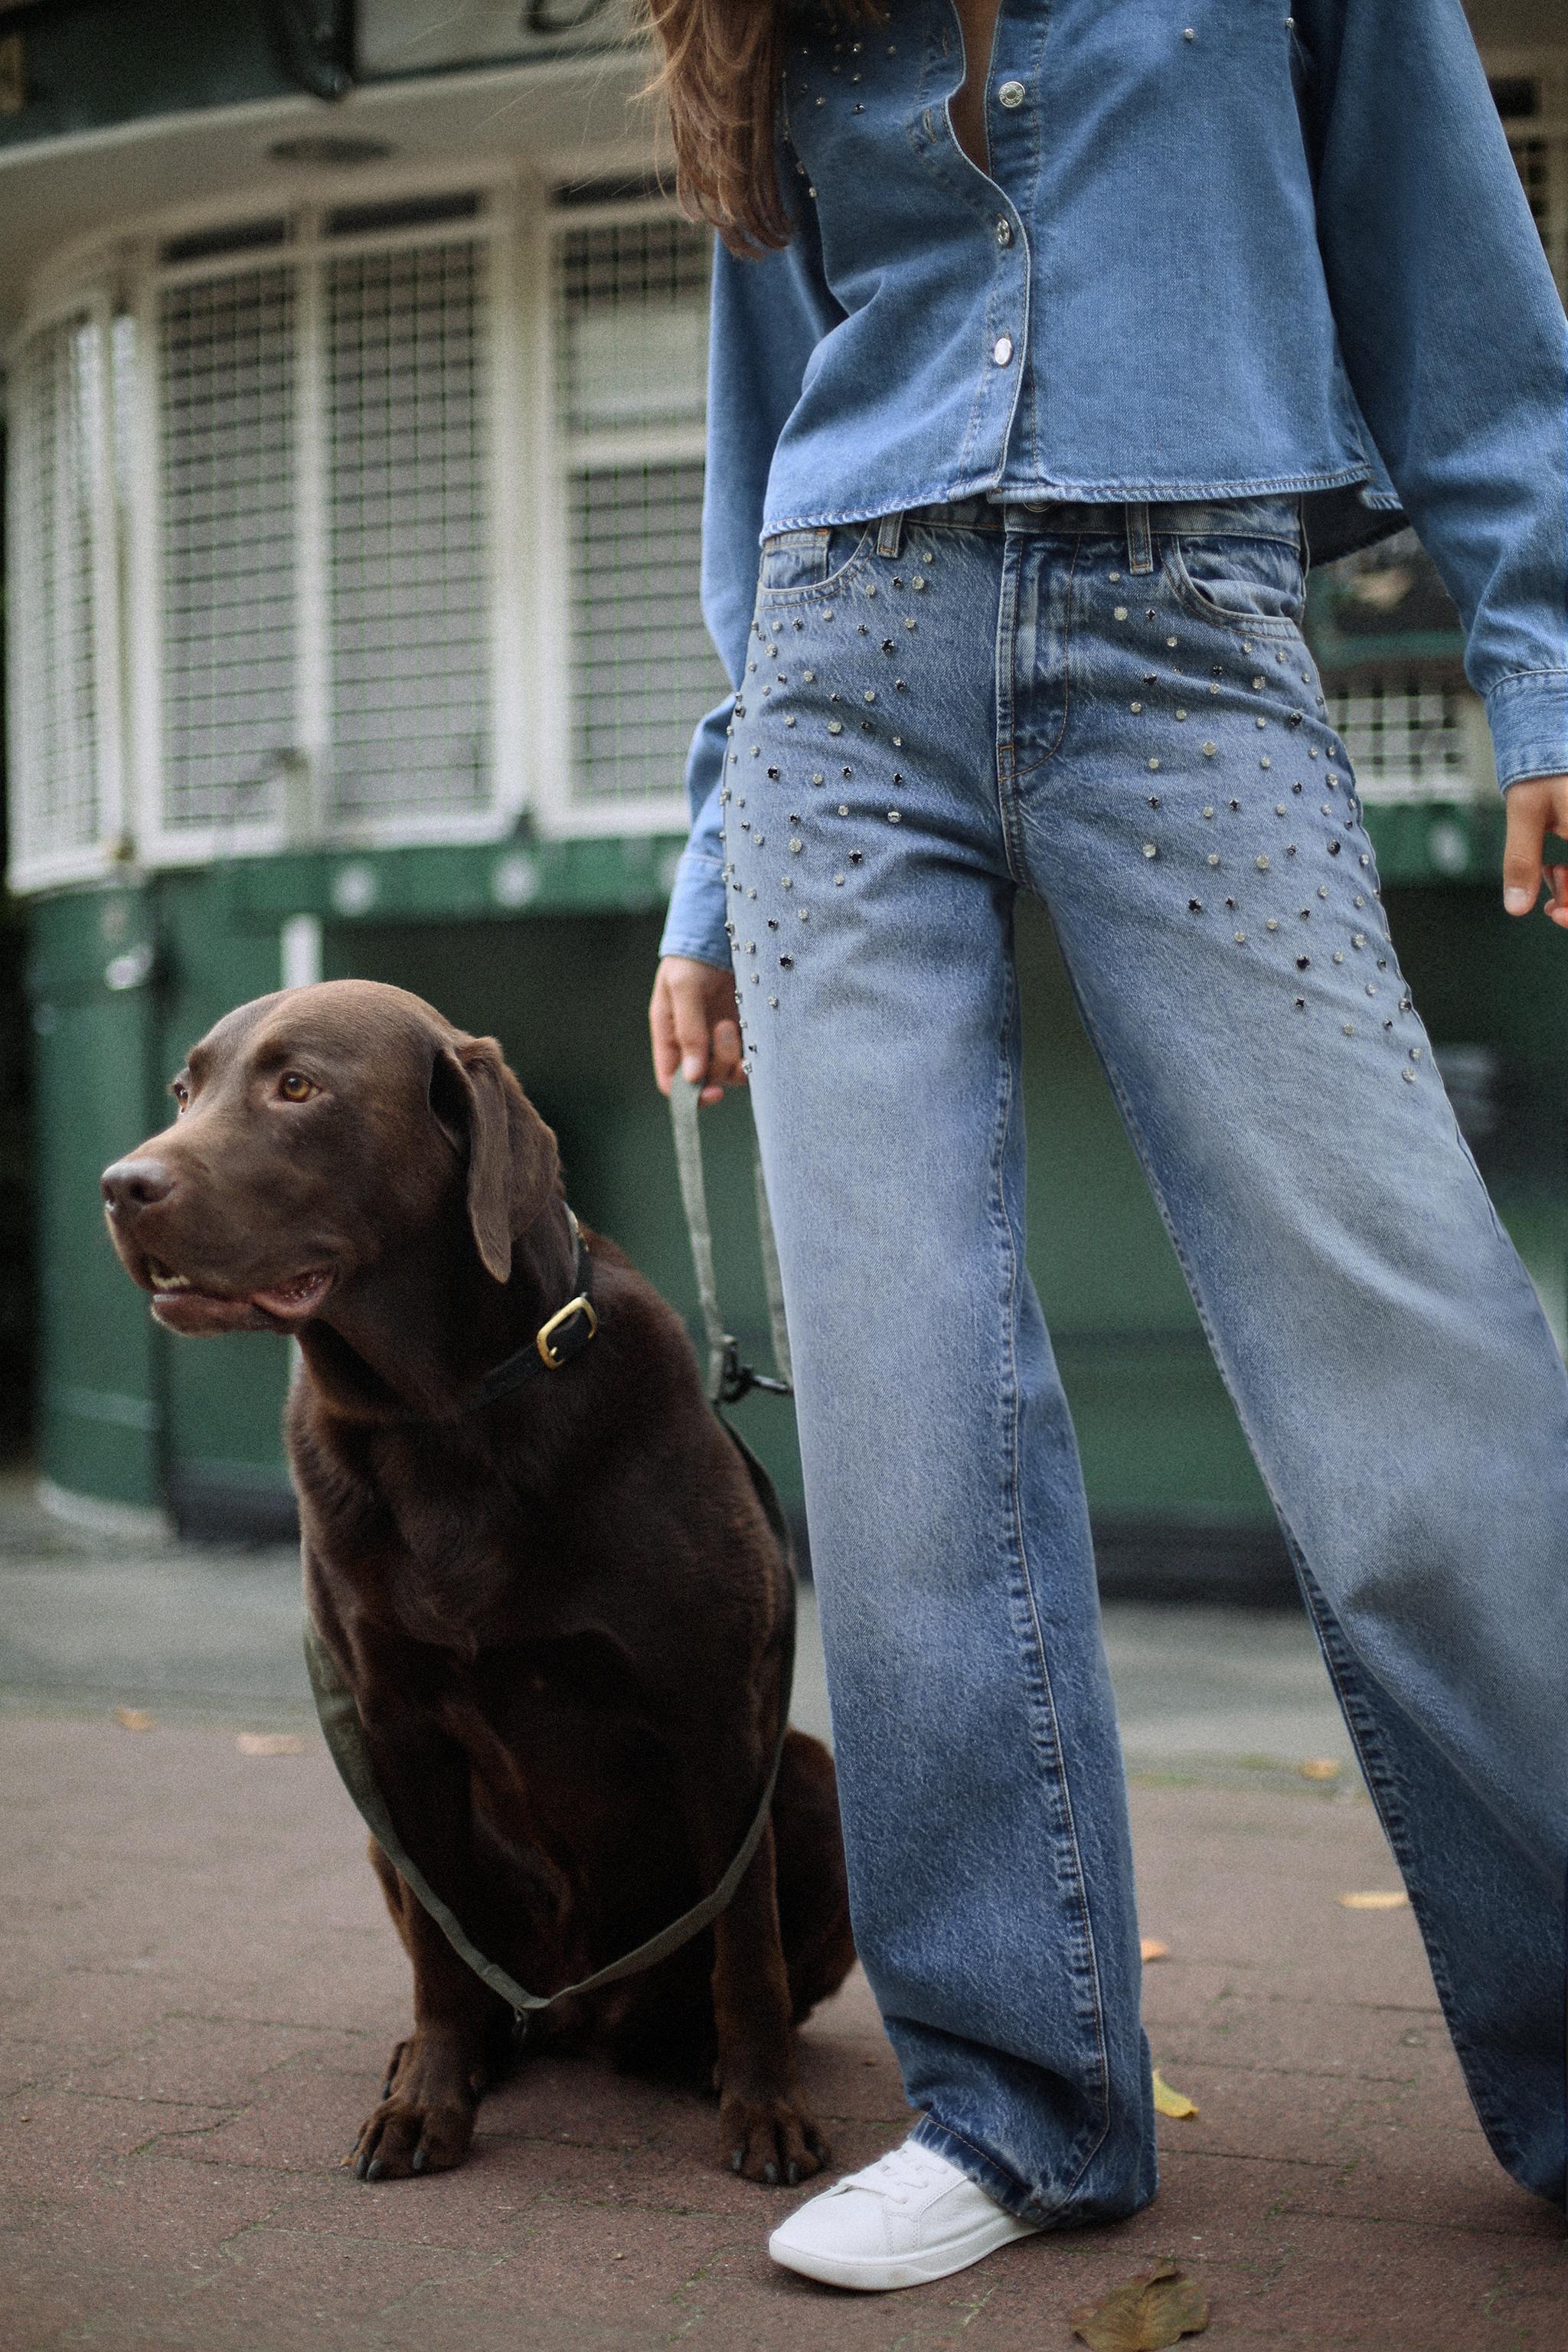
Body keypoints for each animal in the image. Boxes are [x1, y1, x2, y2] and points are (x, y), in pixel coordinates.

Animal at [103, 978, 851, 2182]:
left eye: (297, 1086)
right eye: (184, 1090)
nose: (123, 1186)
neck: (442, 1416)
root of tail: (582, 2009)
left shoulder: (712, 1712)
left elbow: (746, 1945)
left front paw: (765, 2109)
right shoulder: (391, 1726)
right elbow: (442, 1960)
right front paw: (430, 2106)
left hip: (805, 1777)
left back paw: (692, 2052)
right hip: (382, 1830)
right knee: (479, 1980)